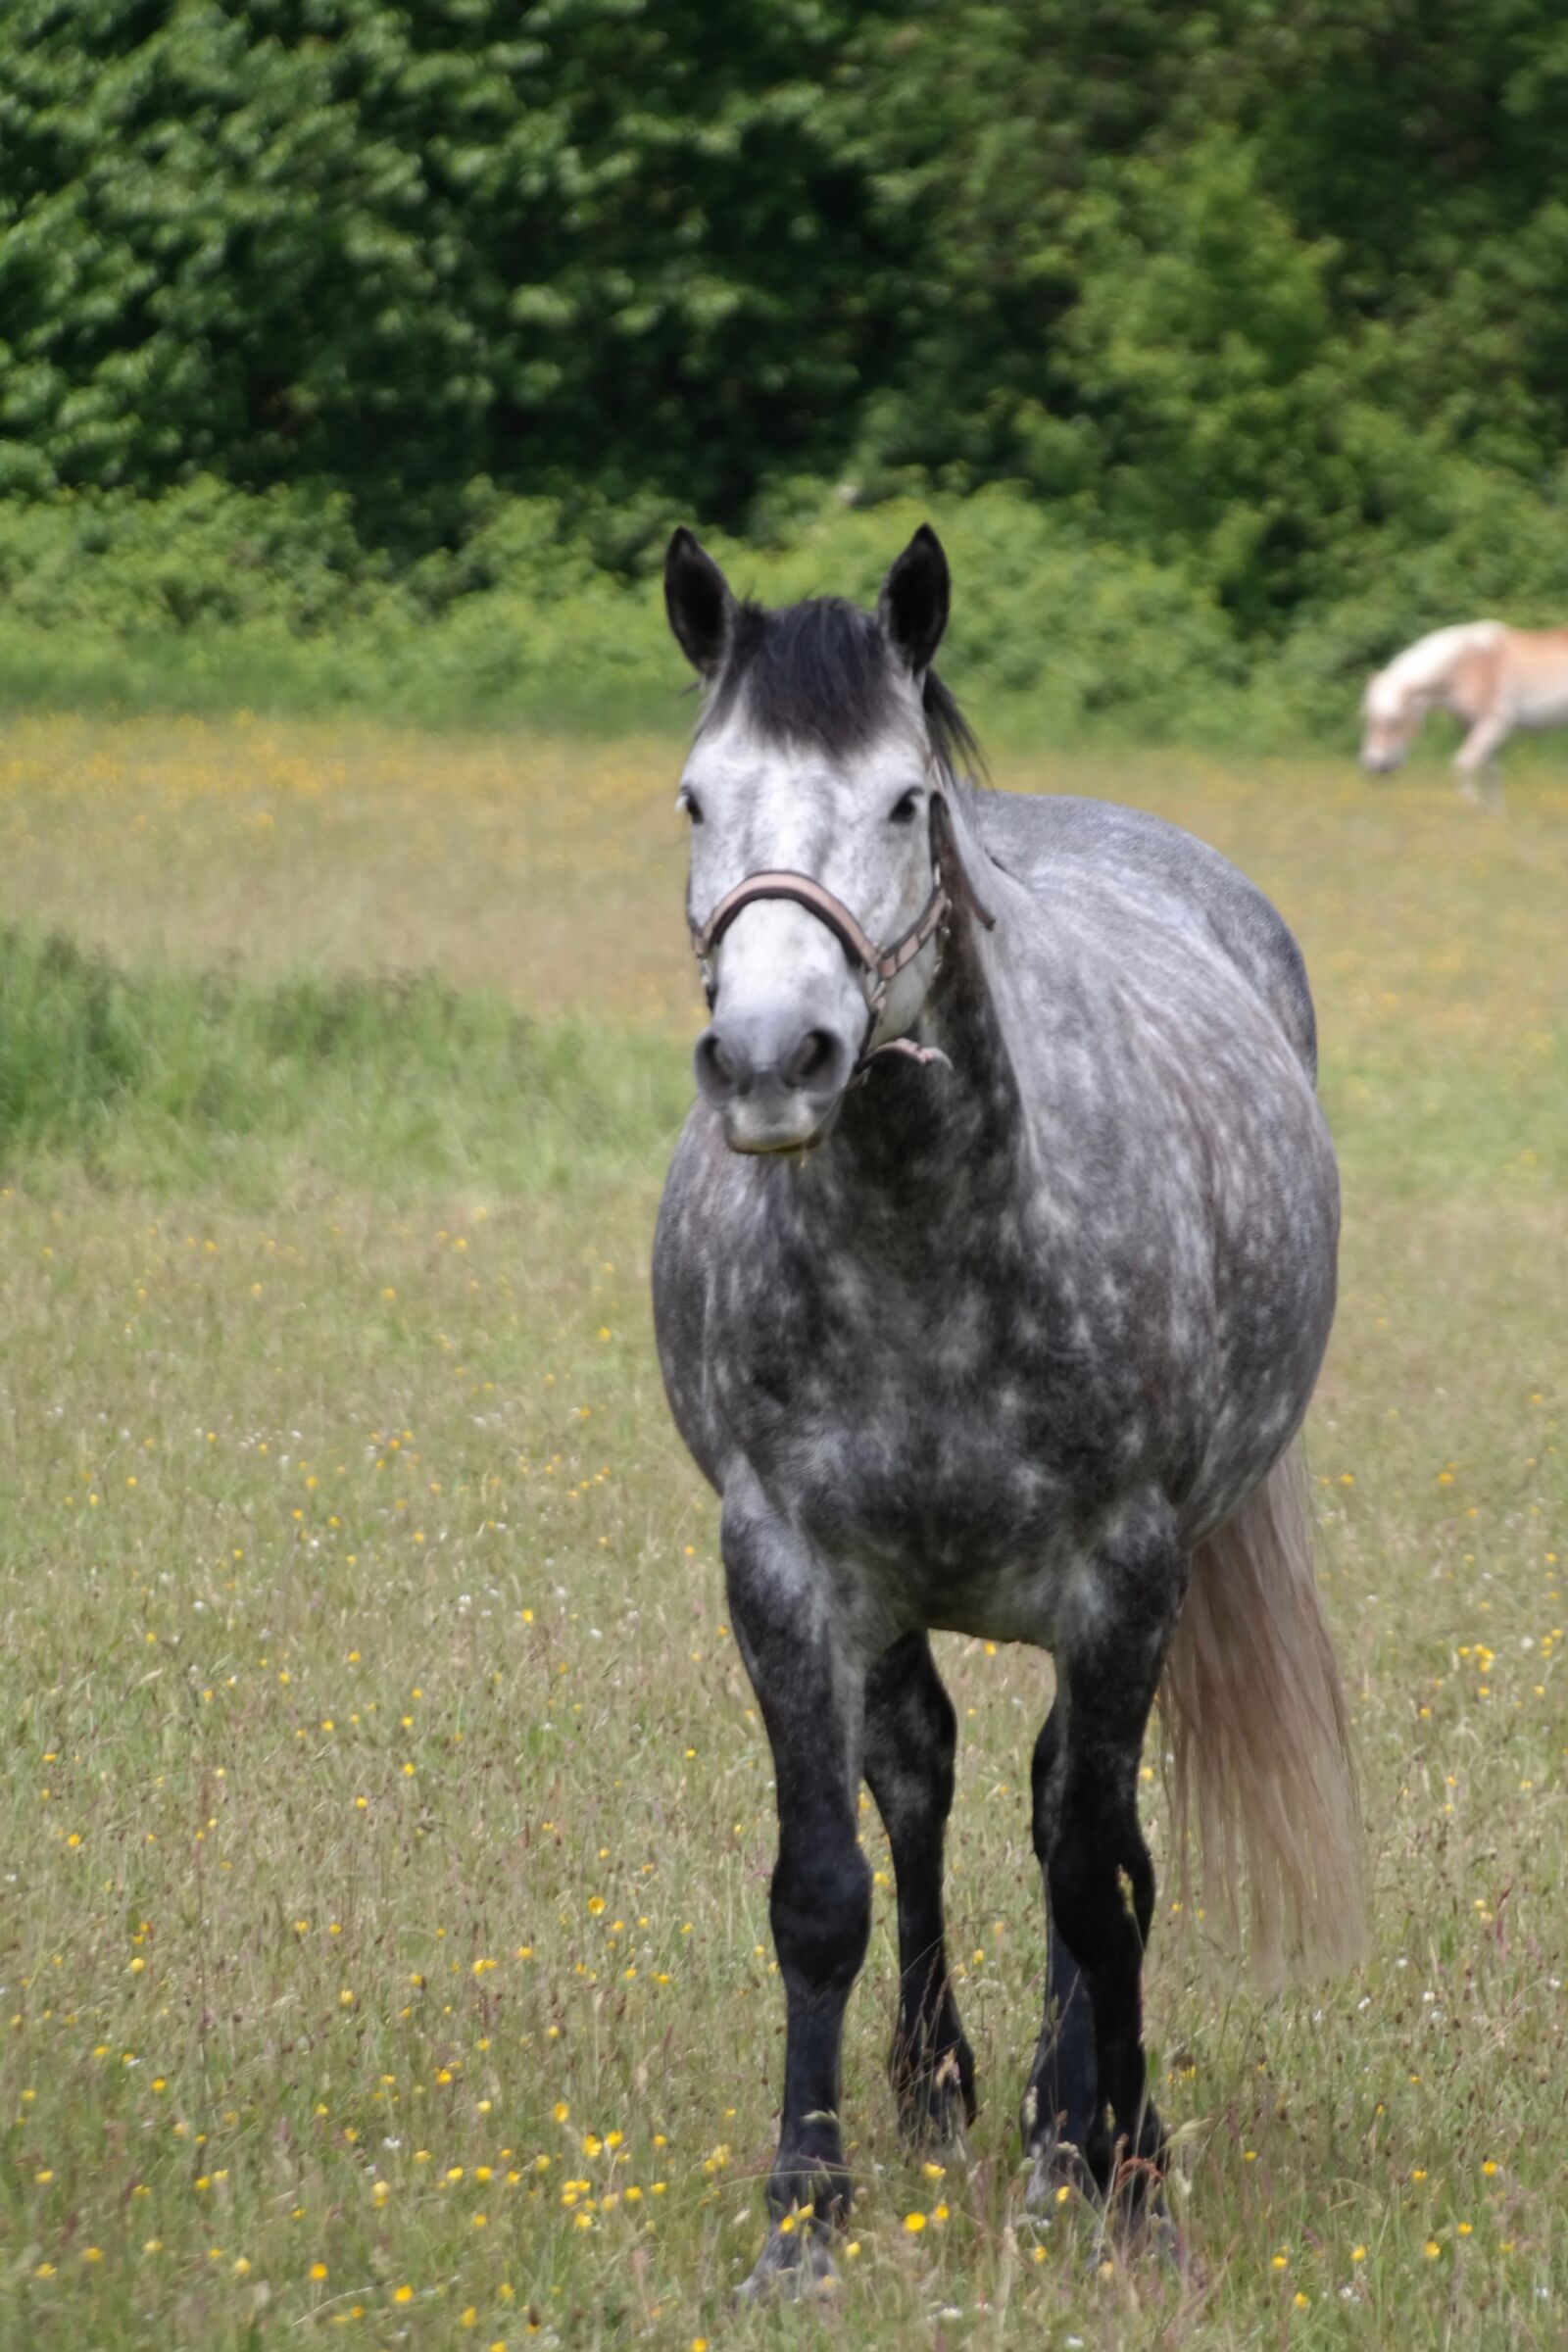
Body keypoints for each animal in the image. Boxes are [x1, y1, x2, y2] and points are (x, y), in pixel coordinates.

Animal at [649, 524, 1363, 2285]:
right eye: (696, 798)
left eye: (907, 801)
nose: (773, 1056)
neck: (929, 1243)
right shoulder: (785, 1571)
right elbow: (822, 1884)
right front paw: (807, 2210)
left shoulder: (1124, 1579)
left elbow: (1098, 1882)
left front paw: (1128, 2183)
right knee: (926, 1781)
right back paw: (949, 2090)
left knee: (1076, 1832)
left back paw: (1069, 2129)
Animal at [1353, 615, 1568, 800]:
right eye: (1368, 719)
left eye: (1395, 721)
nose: (1374, 764)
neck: (1467, 667)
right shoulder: (1474, 729)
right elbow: (1490, 778)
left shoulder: (1494, 726)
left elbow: (1462, 767)